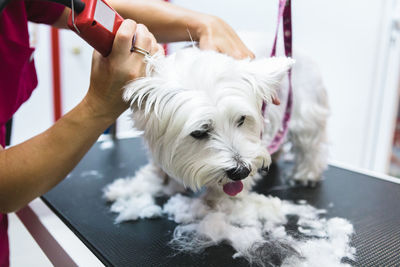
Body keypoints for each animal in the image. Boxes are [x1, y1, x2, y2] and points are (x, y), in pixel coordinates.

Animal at [122, 45, 328, 198]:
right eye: (199, 132)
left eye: (242, 119)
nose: (241, 171)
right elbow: (157, 169)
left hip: (305, 110)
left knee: (310, 143)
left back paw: (306, 174)